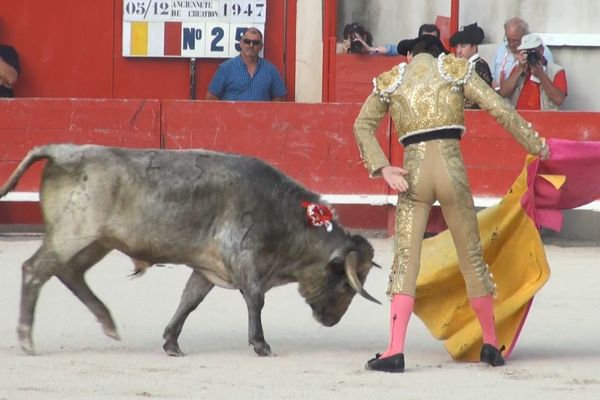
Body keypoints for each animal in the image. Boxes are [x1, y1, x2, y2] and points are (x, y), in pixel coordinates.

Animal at [0, 145, 380, 356]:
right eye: (345, 283)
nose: (331, 321)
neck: (284, 217)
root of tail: (62, 151)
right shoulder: (243, 257)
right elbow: (255, 299)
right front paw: (260, 344)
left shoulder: (207, 268)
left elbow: (190, 300)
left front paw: (171, 342)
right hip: (73, 233)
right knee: (35, 270)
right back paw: (27, 339)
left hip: (96, 241)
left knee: (68, 272)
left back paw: (107, 323)